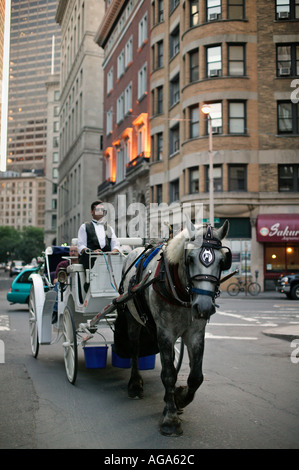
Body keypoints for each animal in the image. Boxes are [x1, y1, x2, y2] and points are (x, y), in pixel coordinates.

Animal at [122, 218, 232, 436]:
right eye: (190, 259)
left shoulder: (195, 334)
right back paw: (135, 384)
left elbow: (195, 377)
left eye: (222, 261)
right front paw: (170, 418)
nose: (204, 307)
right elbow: (168, 374)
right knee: (135, 348)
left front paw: (179, 398)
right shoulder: (165, 333)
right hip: (133, 318)